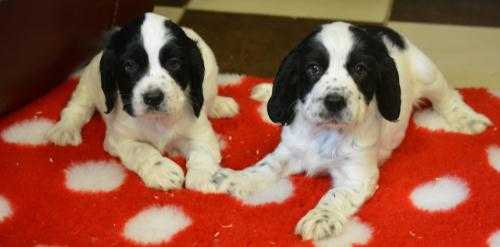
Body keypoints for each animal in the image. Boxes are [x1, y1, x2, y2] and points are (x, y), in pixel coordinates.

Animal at [46, 12, 238, 192]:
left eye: (174, 63)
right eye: (129, 65)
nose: (153, 97)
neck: (157, 120)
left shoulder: (200, 132)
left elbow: (203, 152)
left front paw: (207, 177)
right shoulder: (119, 138)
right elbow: (141, 149)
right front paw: (162, 171)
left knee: (210, 97)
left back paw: (220, 105)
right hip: (89, 80)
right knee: (77, 107)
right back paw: (65, 130)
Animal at [212, 21, 492, 239]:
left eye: (360, 69)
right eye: (313, 68)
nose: (334, 101)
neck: (326, 132)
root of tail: (384, 31)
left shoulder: (357, 176)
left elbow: (335, 195)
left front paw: (320, 218)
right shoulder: (290, 149)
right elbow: (265, 166)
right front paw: (234, 178)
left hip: (427, 73)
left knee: (448, 96)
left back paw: (468, 119)